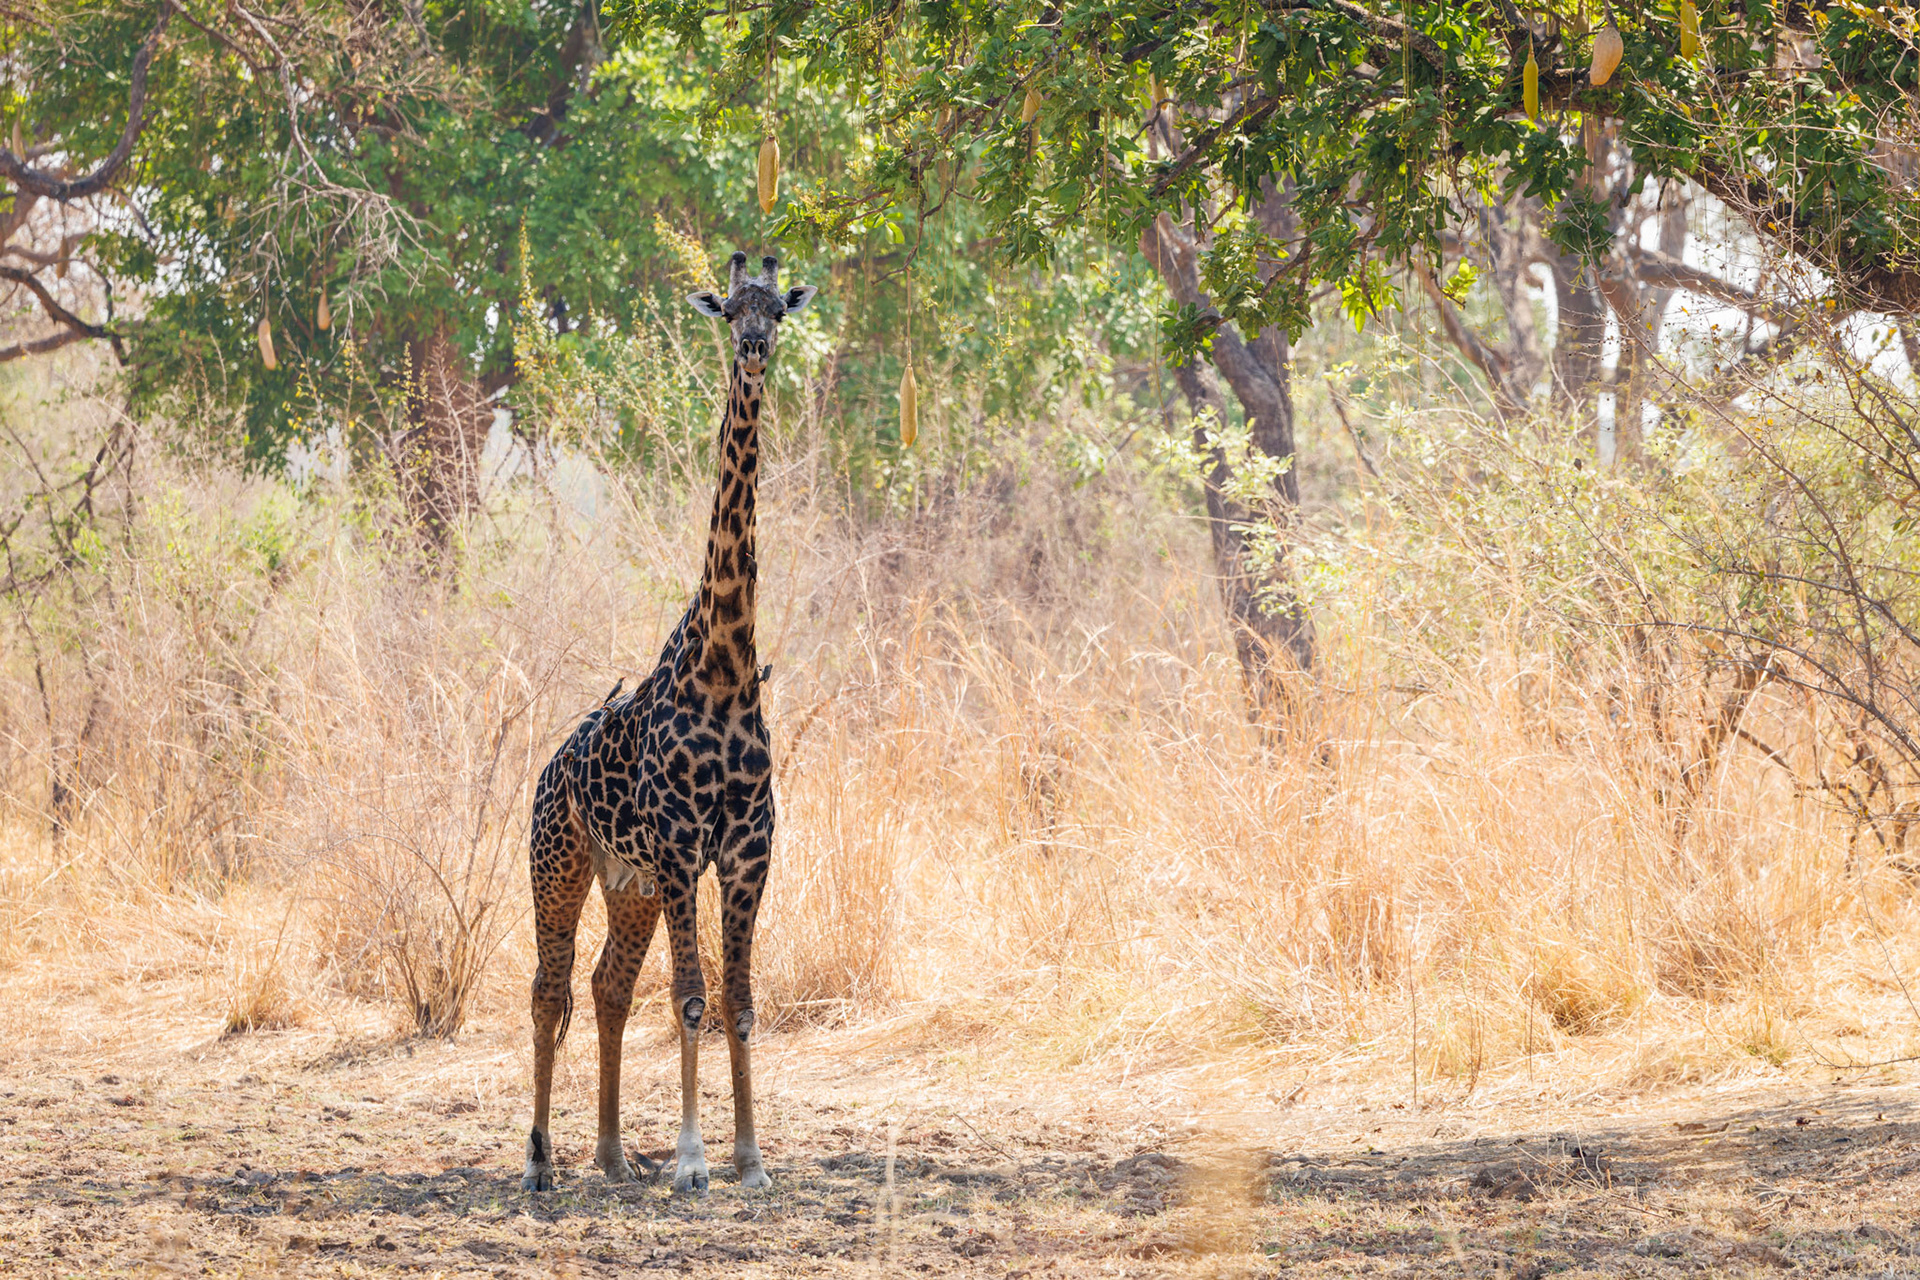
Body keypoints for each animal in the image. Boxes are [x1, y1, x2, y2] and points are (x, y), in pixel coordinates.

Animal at [521, 252, 816, 1195]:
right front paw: (690, 1164)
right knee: (549, 990)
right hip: (559, 863)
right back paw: (539, 1161)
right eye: (727, 310)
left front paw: (750, 1162)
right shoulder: (688, 847)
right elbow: (691, 999)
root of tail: (550, 766)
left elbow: (738, 1002)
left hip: (631, 885)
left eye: (778, 310)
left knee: (607, 987)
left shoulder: (748, 850)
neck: (723, 664)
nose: (754, 348)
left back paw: (612, 1157)